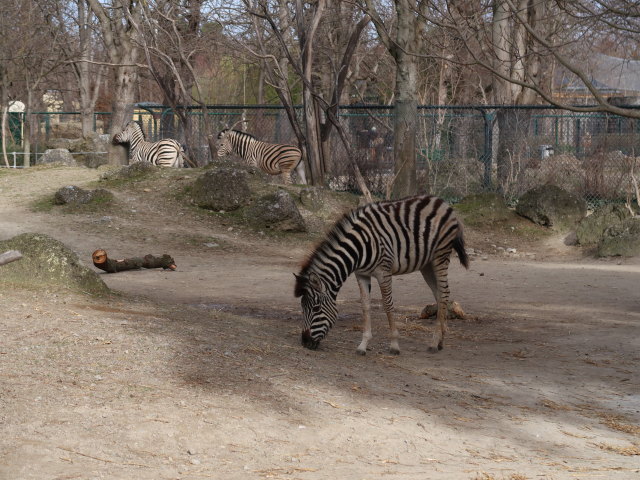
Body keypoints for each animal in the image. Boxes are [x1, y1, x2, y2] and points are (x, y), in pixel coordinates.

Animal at [294, 194, 469, 355]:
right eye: (302, 306)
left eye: (316, 308)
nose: (305, 342)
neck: (359, 247)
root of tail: (441, 201)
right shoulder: (361, 274)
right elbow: (365, 305)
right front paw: (363, 345)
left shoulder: (383, 272)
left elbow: (387, 305)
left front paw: (394, 345)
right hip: (426, 264)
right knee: (439, 295)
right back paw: (440, 340)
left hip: (440, 256)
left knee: (444, 293)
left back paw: (433, 343)